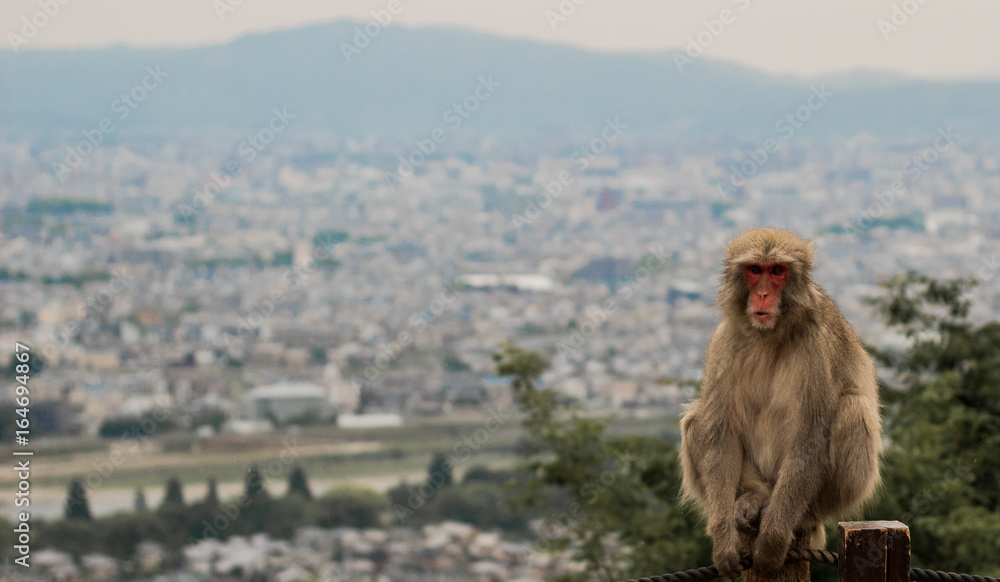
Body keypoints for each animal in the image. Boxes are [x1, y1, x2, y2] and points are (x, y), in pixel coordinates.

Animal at [679, 228, 881, 579]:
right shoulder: (724, 340)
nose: (761, 295)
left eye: (777, 271)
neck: (769, 334)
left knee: (853, 409)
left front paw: (772, 544)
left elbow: (809, 441)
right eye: (754, 270)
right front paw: (723, 543)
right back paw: (754, 495)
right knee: (696, 423)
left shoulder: (817, 344)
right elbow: (719, 436)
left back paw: (804, 515)